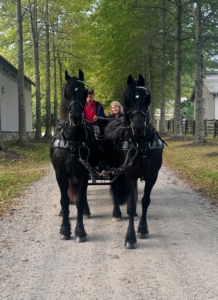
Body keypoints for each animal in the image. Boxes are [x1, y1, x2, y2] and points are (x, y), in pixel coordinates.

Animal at [50, 70, 97, 241]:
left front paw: (80, 231)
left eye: (84, 92)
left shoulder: (84, 173)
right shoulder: (60, 174)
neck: (72, 139)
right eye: (66, 92)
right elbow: (64, 200)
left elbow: (80, 201)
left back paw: (86, 211)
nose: (76, 116)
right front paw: (64, 229)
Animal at [104, 74, 164, 250]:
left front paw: (143, 229)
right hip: (113, 169)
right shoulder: (128, 175)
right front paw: (130, 238)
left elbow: (145, 201)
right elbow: (130, 205)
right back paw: (116, 213)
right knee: (115, 187)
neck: (140, 143)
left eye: (147, 98)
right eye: (128, 100)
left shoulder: (152, 175)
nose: (138, 127)